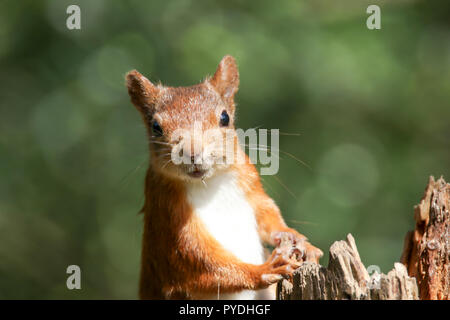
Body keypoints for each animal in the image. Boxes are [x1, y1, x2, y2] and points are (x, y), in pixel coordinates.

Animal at [125, 55, 324, 300]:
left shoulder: (250, 184)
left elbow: (268, 214)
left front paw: (297, 239)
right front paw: (265, 270)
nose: (192, 153)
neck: (210, 184)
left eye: (224, 117)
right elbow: (201, 263)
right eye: (155, 127)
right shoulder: (167, 220)